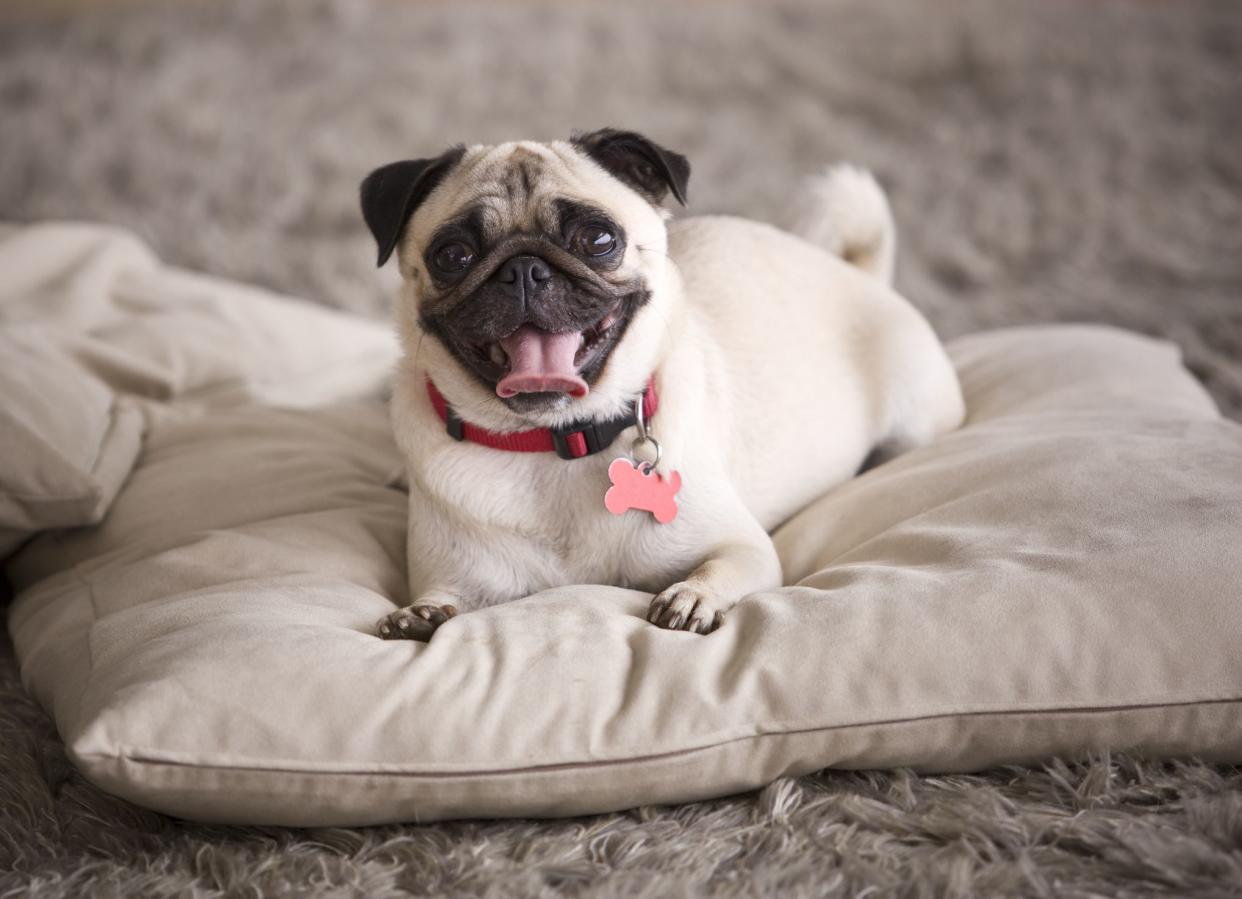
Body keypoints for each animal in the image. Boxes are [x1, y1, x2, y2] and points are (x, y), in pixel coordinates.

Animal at [360, 131, 958, 640]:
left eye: (598, 239)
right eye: (452, 256)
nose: (523, 269)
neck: (557, 441)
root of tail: (860, 274)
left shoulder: (744, 548)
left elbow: (723, 567)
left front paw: (692, 597)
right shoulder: (459, 575)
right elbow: (442, 597)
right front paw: (420, 614)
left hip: (915, 421)